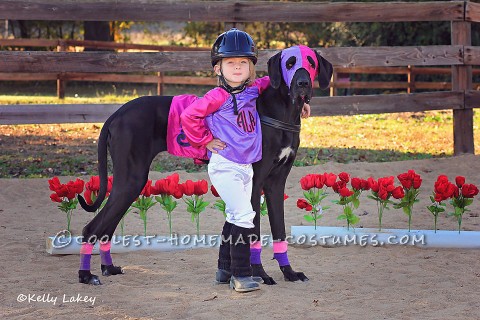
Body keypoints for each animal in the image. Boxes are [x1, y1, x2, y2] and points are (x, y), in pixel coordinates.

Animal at [79, 45, 332, 284]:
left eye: (311, 63)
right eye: (289, 63)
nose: (302, 83)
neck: (284, 111)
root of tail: (116, 114)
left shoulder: (276, 184)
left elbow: (279, 229)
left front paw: (289, 272)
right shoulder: (255, 183)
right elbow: (253, 233)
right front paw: (260, 274)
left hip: (130, 184)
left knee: (106, 228)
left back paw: (108, 268)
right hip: (131, 180)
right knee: (91, 228)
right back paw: (86, 275)